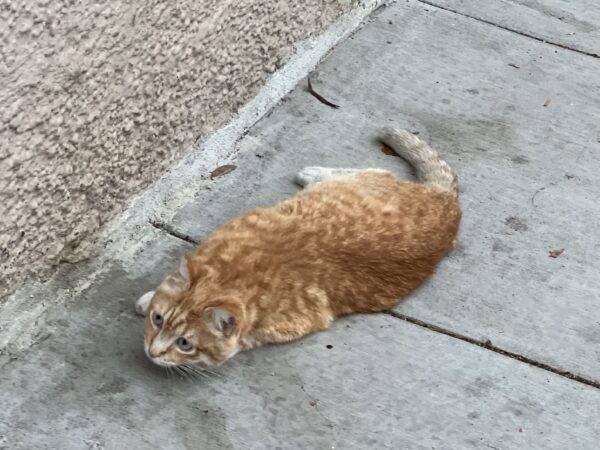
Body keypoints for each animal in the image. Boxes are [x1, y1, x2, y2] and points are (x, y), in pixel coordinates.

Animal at [136, 126, 462, 370]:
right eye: (158, 320)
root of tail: (449, 205)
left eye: (184, 344)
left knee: (376, 170)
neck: (237, 274)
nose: (152, 351)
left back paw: (313, 173)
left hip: (365, 179)